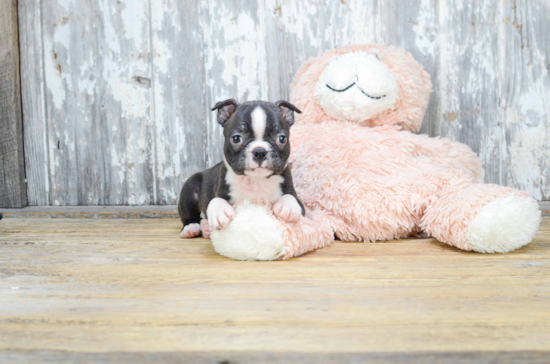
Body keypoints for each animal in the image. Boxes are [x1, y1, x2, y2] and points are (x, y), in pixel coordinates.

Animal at [179, 99, 306, 239]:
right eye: (236, 138)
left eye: (282, 138)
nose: (259, 151)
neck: (256, 181)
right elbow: (216, 200)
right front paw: (219, 212)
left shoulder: (300, 204)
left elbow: (291, 197)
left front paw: (287, 207)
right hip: (190, 187)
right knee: (189, 214)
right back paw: (192, 227)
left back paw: (205, 227)